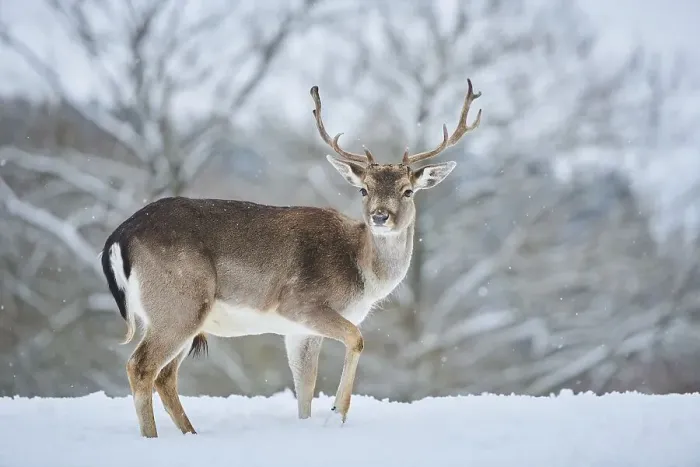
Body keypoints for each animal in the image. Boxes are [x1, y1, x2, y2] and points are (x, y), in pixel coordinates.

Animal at [100, 79, 482, 438]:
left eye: (408, 191)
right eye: (364, 189)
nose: (380, 216)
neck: (363, 275)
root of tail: (120, 236)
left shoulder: (298, 332)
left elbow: (305, 389)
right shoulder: (301, 304)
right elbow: (356, 338)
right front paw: (337, 414)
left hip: (172, 315)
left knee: (165, 376)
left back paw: (191, 434)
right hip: (180, 302)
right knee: (141, 367)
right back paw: (153, 438)